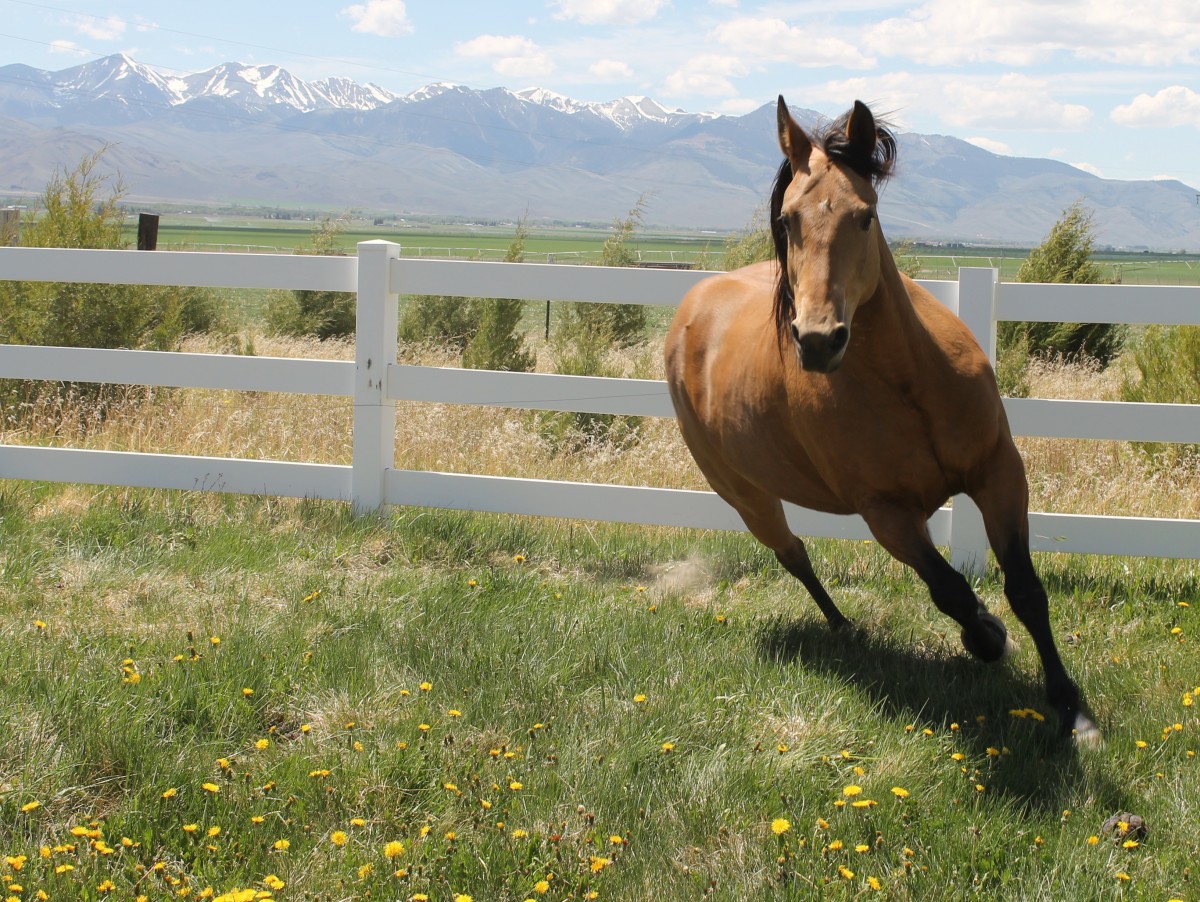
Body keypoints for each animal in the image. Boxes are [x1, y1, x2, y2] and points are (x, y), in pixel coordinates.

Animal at [662, 97, 1099, 748]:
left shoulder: (999, 474)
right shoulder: (887, 514)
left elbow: (1025, 590)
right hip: (745, 495)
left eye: (865, 217)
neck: (910, 385)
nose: (818, 340)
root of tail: (692, 308)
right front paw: (987, 638)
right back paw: (843, 625)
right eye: (788, 219)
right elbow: (951, 590)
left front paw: (1072, 708)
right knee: (793, 554)